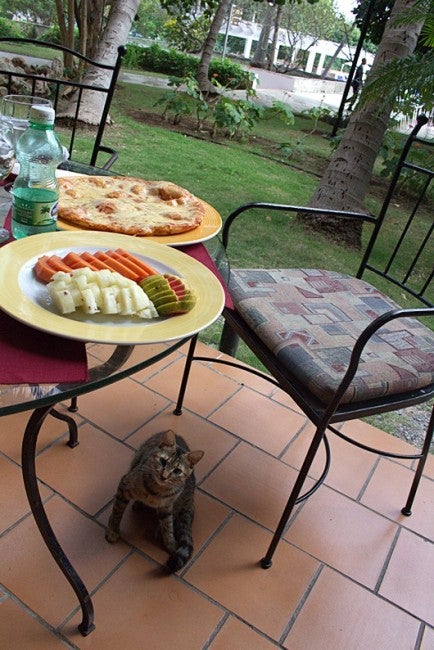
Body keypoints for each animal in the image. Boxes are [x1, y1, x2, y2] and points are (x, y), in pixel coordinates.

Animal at [104, 430, 203, 572]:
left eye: (177, 471)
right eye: (163, 461)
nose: (164, 476)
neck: (156, 492)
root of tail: (190, 502)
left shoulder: (167, 507)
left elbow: (168, 526)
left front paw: (171, 543)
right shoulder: (124, 485)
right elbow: (117, 512)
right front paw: (113, 529)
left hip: (180, 502)